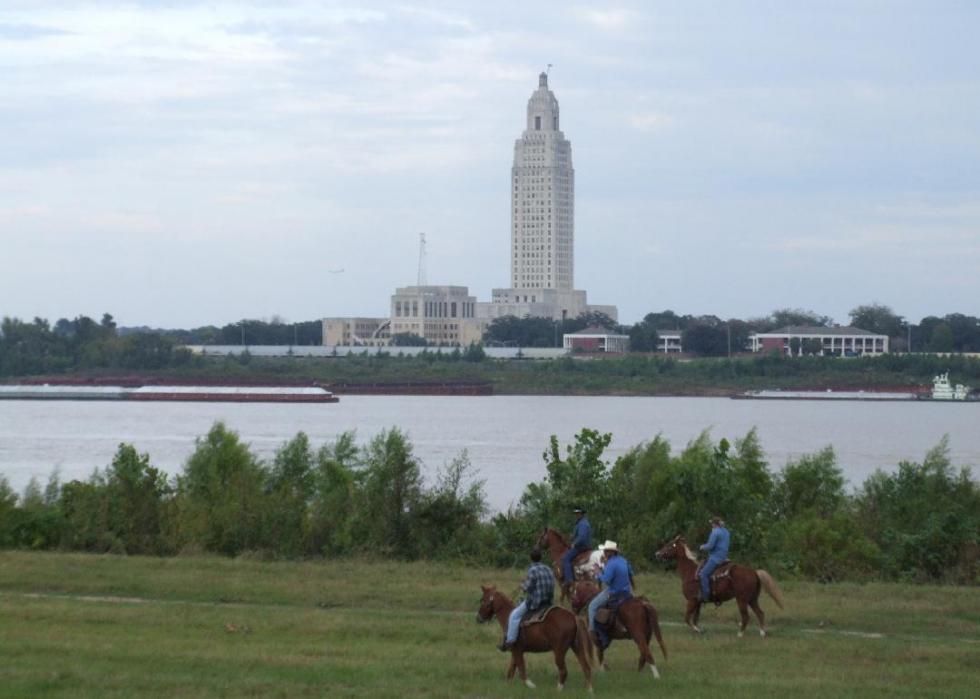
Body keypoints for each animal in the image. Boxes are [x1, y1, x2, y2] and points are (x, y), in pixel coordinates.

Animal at [656, 536, 784, 640]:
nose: (657, 554)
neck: (690, 572)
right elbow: (695, 618)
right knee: (760, 613)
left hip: (742, 599)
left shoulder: (692, 600)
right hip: (752, 599)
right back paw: (762, 633)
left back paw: (740, 634)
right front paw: (698, 631)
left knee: (746, 616)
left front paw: (697, 630)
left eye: (669, 545)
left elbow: (687, 618)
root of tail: (753, 572)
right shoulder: (698, 602)